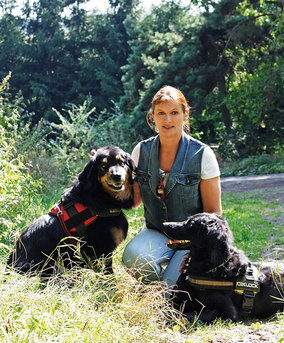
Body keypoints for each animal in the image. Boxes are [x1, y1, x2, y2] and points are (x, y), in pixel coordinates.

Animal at [7, 145, 135, 276]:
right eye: (103, 166)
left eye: (121, 162)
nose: (117, 176)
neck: (99, 196)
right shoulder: (101, 248)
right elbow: (108, 271)